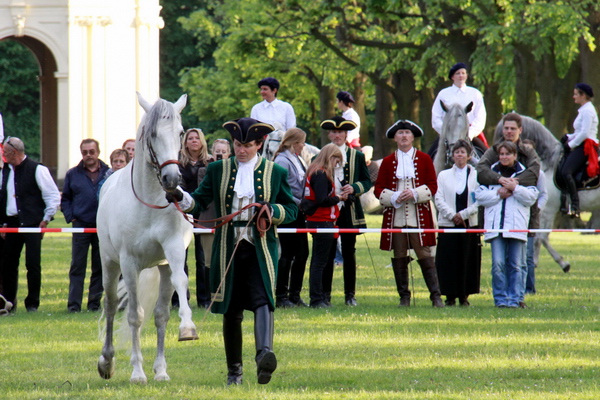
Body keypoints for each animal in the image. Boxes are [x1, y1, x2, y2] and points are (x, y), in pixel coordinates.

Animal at [95, 92, 196, 382]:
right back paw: (107, 362)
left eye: (181, 132)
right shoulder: (129, 263)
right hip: (110, 264)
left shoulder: (172, 253)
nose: (172, 179)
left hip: (158, 268)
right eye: (152, 134)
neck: (150, 201)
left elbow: (172, 297)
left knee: (159, 313)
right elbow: (134, 317)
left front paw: (186, 330)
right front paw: (137, 372)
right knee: (111, 306)